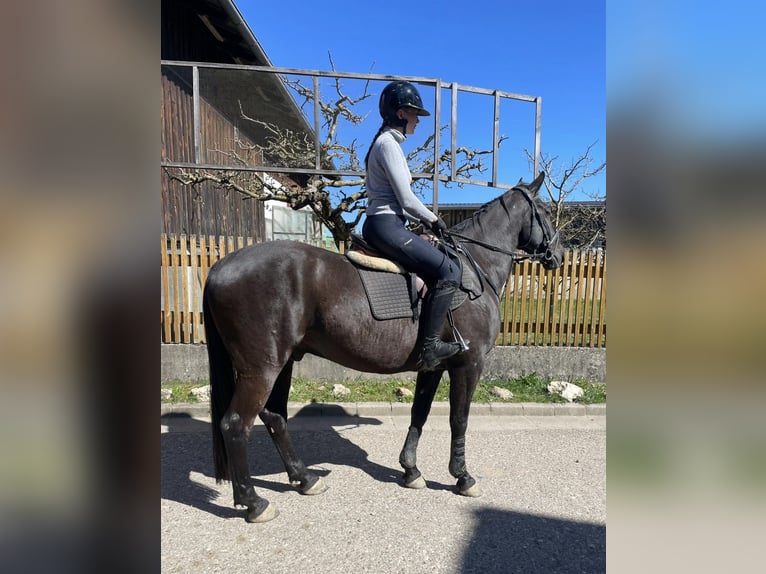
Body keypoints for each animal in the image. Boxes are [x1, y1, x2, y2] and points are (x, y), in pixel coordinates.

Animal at [203, 171, 564, 522]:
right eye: (546, 212)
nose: (558, 256)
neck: (475, 269)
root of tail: (222, 265)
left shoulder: (433, 367)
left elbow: (420, 413)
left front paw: (411, 470)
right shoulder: (468, 365)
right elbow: (458, 420)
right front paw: (462, 477)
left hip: (283, 363)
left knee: (275, 417)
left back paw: (304, 479)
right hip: (261, 369)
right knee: (235, 424)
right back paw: (253, 502)